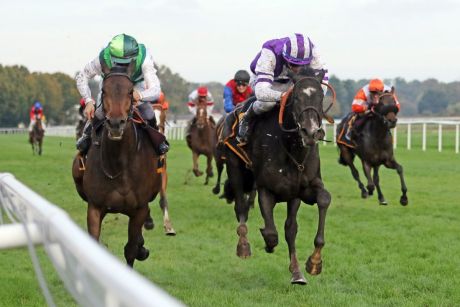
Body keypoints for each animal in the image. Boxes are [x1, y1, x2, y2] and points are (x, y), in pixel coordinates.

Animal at [72, 63, 164, 268]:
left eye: (130, 91)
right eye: (104, 91)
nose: (115, 123)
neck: (119, 165)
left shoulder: (139, 209)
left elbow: (131, 249)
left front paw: (140, 249)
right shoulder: (95, 206)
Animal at [223, 68, 334, 286]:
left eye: (320, 97)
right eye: (296, 97)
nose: (310, 132)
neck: (291, 149)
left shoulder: (301, 191)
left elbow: (319, 203)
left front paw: (311, 264)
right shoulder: (266, 189)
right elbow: (271, 233)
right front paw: (268, 243)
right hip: (235, 168)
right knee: (241, 207)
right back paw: (243, 245)